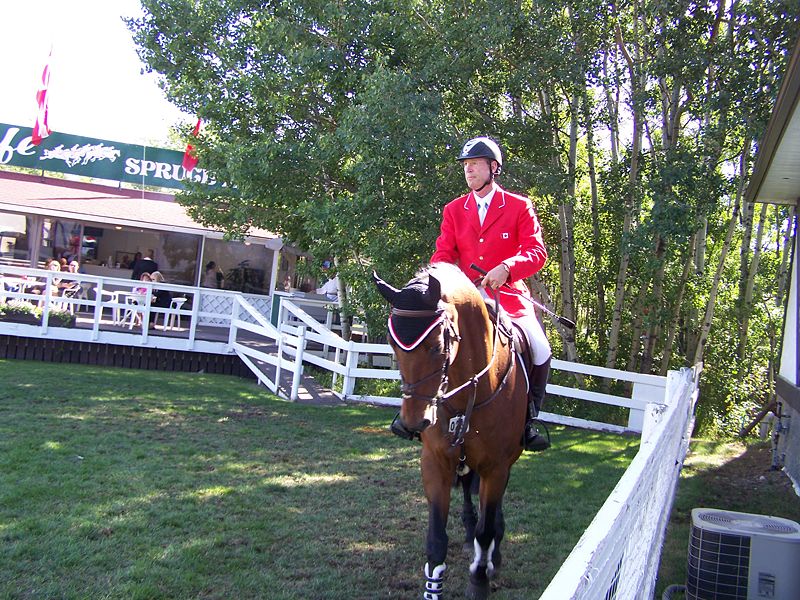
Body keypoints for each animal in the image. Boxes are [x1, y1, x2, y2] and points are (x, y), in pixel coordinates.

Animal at [376, 262, 532, 600]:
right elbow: (436, 538)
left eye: (437, 346)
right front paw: (432, 589)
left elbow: (486, 532)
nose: (414, 422)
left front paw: (480, 580)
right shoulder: (435, 462)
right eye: (393, 345)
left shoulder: (496, 467)